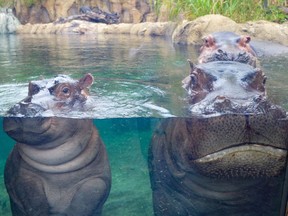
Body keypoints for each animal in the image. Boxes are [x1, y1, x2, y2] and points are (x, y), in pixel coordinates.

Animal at [2, 73, 111, 215]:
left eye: (65, 90)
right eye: (31, 85)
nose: (22, 107)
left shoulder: (97, 180)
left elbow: (86, 199)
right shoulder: (24, 176)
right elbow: (34, 201)